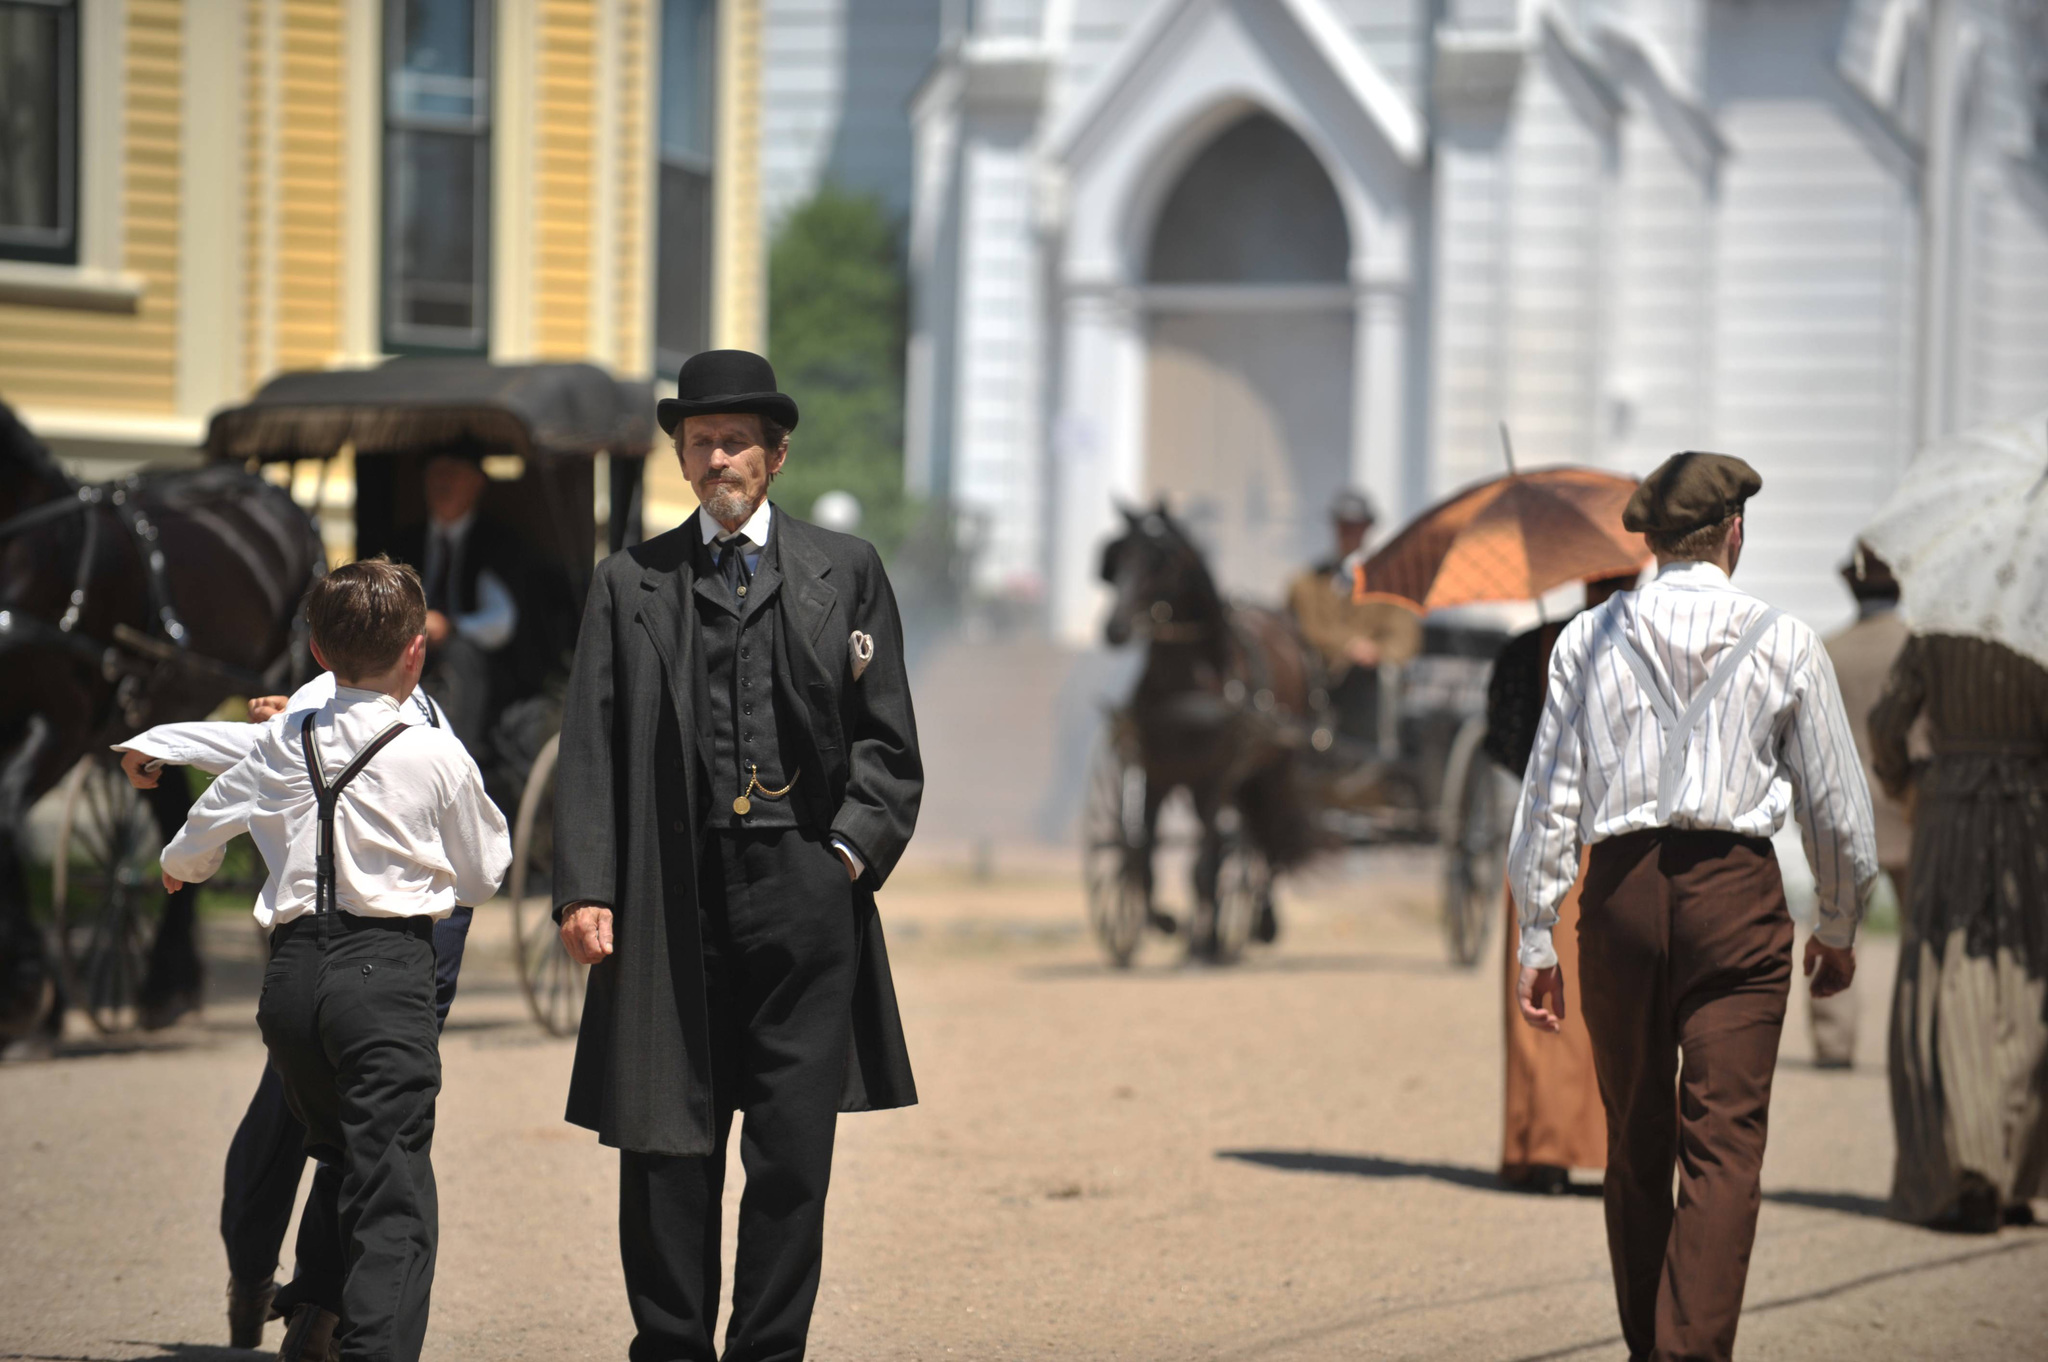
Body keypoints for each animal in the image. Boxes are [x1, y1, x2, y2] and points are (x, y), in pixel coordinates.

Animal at [1097, 503, 1318, 962]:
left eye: (1160, 559)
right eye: (1117, 557)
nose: (1115, 629)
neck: (1186, 684)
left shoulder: (1214, 779)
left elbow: (1201, 866)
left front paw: (1198, 942)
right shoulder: (1156, 774)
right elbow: (1142, 857)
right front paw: (1166, 922)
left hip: (1272, 770)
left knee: (1265, 840)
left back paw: (1256, 925)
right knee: (1234, 844)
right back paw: (1213, 934)